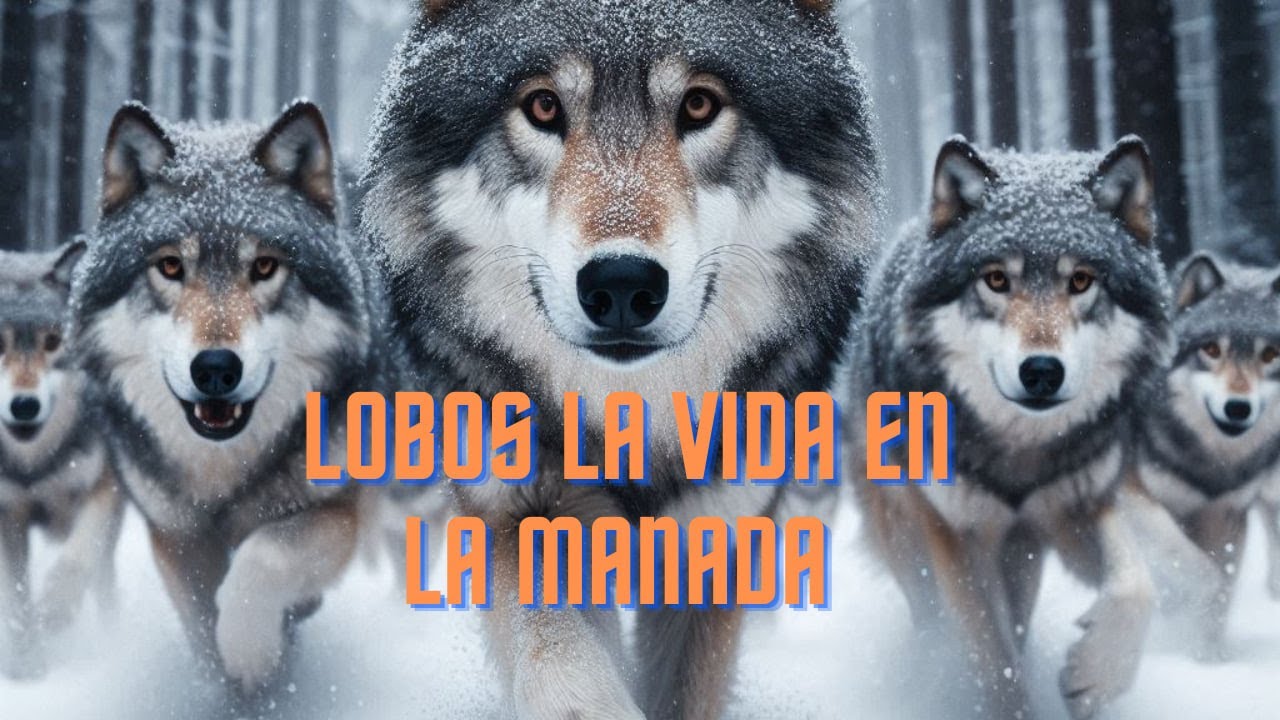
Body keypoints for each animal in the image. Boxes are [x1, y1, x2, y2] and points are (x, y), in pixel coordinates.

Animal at [0, 242, 123, 678]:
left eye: (52, 342)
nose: (24, 405)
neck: (35, 466)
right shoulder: (9, 516)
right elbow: (15, 596)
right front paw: (26, 663)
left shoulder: (105, 487)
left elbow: (76, 557)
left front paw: (55, 608)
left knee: (103, 584)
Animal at [70, 101, 383, 698]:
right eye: (170, 267)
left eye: (264, 267)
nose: (215, 368)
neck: (223, 469)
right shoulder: (176, 534)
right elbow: (200, 613)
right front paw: (228, 680)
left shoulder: (338, 509)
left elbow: (261, 559)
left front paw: (250, 654)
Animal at [362, 1, 878, 717]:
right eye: (544, 106)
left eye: (699, 104)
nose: (623, 285)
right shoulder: (516, 510)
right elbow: (556, 650)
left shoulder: (717, 544)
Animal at [853, 136, 1173, 719]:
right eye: (997, 280)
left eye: (1081, 280)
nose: (1042, 371)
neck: (1019, 451)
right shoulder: (956, 536)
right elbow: (993, 659)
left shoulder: (1077, 507)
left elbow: (1137, 584)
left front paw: (1095, 674)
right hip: (909, 539)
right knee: (933, 618)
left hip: (1022, 551)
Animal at [1130, 254, 1280, 650]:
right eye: (1211, 350)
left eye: (1270, 354)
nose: (1238, 407)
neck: (1211, 463)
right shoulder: (1132, 494)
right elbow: (1188, 559)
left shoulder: (1227, 514)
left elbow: (1221, 585)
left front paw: (1207, 654)